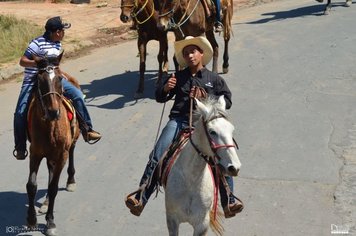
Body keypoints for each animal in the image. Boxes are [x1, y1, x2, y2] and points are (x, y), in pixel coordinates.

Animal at [25, 52, 80, 235]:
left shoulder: (62, 154)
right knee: (50, 169)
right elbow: (31, 185)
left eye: (59, 79)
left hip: (72, 142)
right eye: (39, 80)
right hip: (49, 154)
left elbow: (54, 187)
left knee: (72, 152)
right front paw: (31, 219)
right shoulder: (35, 153)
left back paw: (71, 181)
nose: (53, 112)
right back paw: (46, 203)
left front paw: (50, 222)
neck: (49, 126)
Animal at [163, 96, 241, 236]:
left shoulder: (202, 225)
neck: (191, 180)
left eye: (232, 130)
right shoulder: (172, 220)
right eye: (212, 132)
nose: (235, 167)